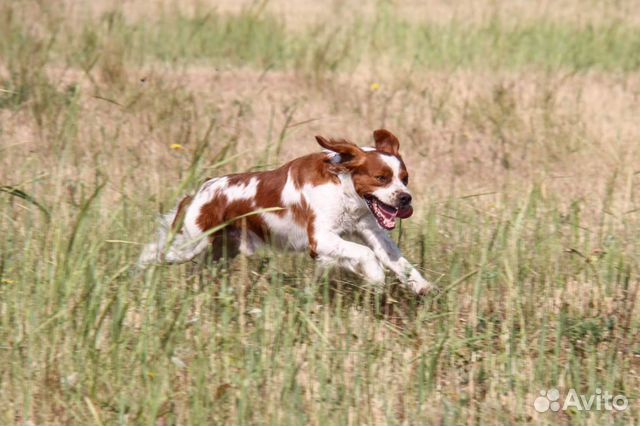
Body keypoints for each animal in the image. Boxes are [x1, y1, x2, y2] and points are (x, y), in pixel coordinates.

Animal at [138, 130, 432, 294]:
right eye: (381, 178)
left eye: (405, 178)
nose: (405, 199)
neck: (343, 188)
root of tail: (199, 191)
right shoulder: (320, 238)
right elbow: (366, 254)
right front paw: (376, 276)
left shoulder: (370, 231)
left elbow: (397, 260)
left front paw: (420, 285)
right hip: (192, 242)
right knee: (155, 251)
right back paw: (140, 273)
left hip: (220, 250)